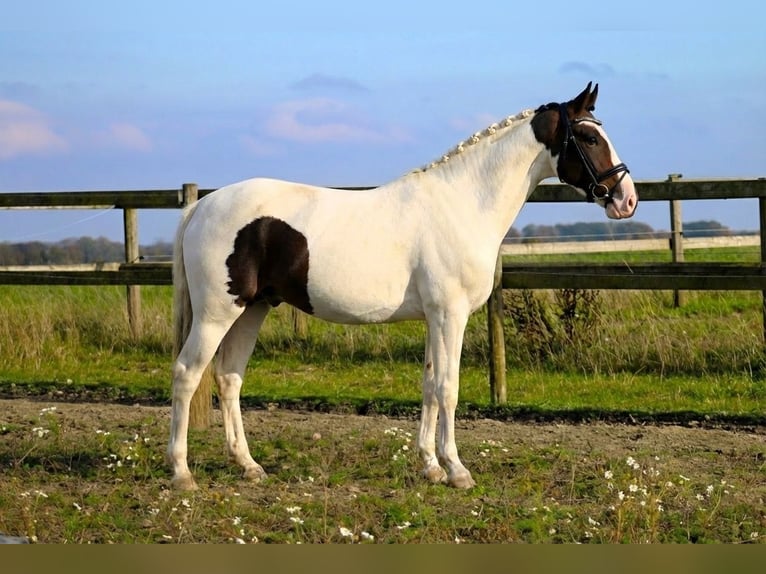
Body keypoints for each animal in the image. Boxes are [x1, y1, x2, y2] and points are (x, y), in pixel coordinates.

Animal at [166, 82, 637, 490]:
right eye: (588, 136)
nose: (626, 199)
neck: (463, 203)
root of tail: (202, 206)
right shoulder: (450, 314)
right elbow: (448, 388)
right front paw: (457, 471)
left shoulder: (434, 317)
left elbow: (429, 387)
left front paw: (430, 466)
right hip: (217, 313)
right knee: (188, 373)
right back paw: (182, 473)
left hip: (254, 309)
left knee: (229, 378)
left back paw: (248, 465)